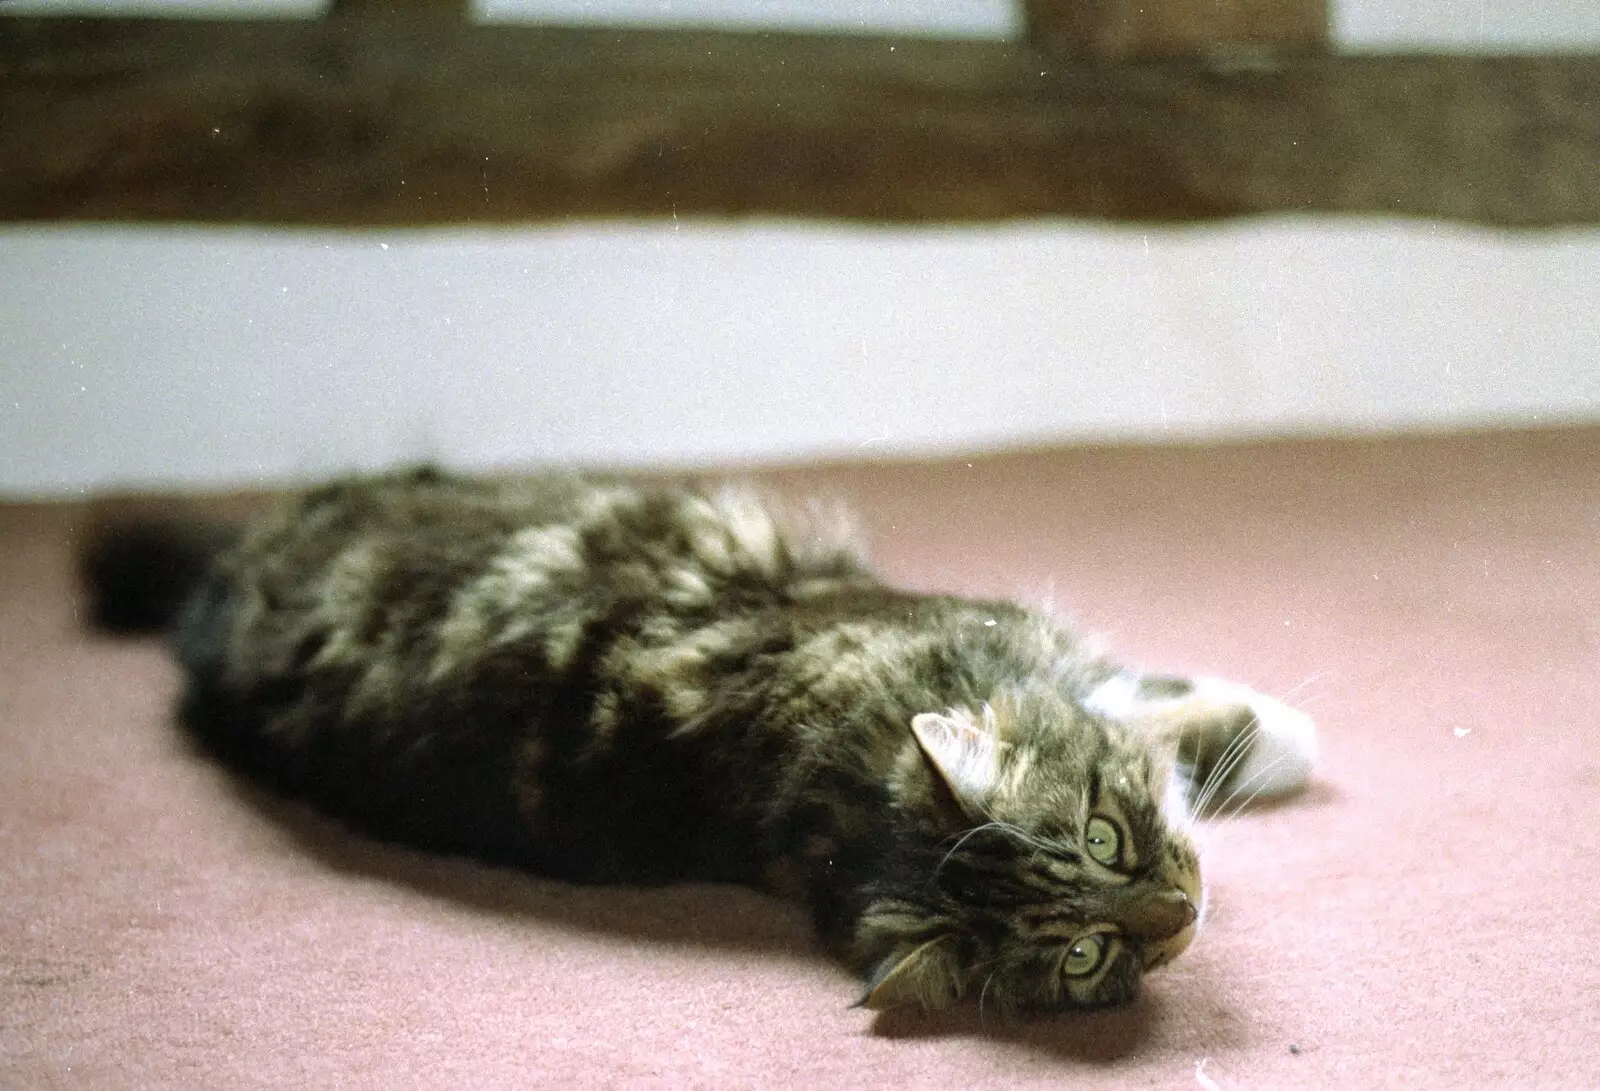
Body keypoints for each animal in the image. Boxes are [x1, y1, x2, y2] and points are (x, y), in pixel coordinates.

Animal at [81, 463, 1318, 1011]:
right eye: (1083, 954)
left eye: (1104, 838)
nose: (1181, 912)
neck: (824, 778)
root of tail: (219, 594)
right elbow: (1167, 708)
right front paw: (1280, 732)